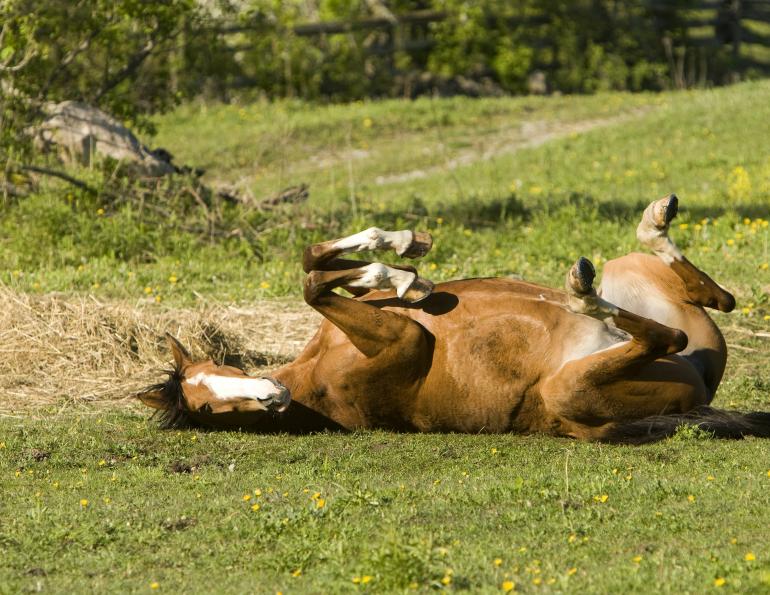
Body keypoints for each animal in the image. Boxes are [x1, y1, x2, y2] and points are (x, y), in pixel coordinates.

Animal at [139, 195, 770, 443]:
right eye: (206, 409)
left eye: (218, 367)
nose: (271, 395)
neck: (313, 381)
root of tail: (698, 391)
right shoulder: (405, 341)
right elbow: (314, 281)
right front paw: (401, 272)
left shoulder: (383, 324)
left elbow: (315, 264)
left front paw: (402, 262)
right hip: (573, 388)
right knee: (668, 332)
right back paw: (583, 294)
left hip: (635, 278)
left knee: (713, 298)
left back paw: (650, 224)